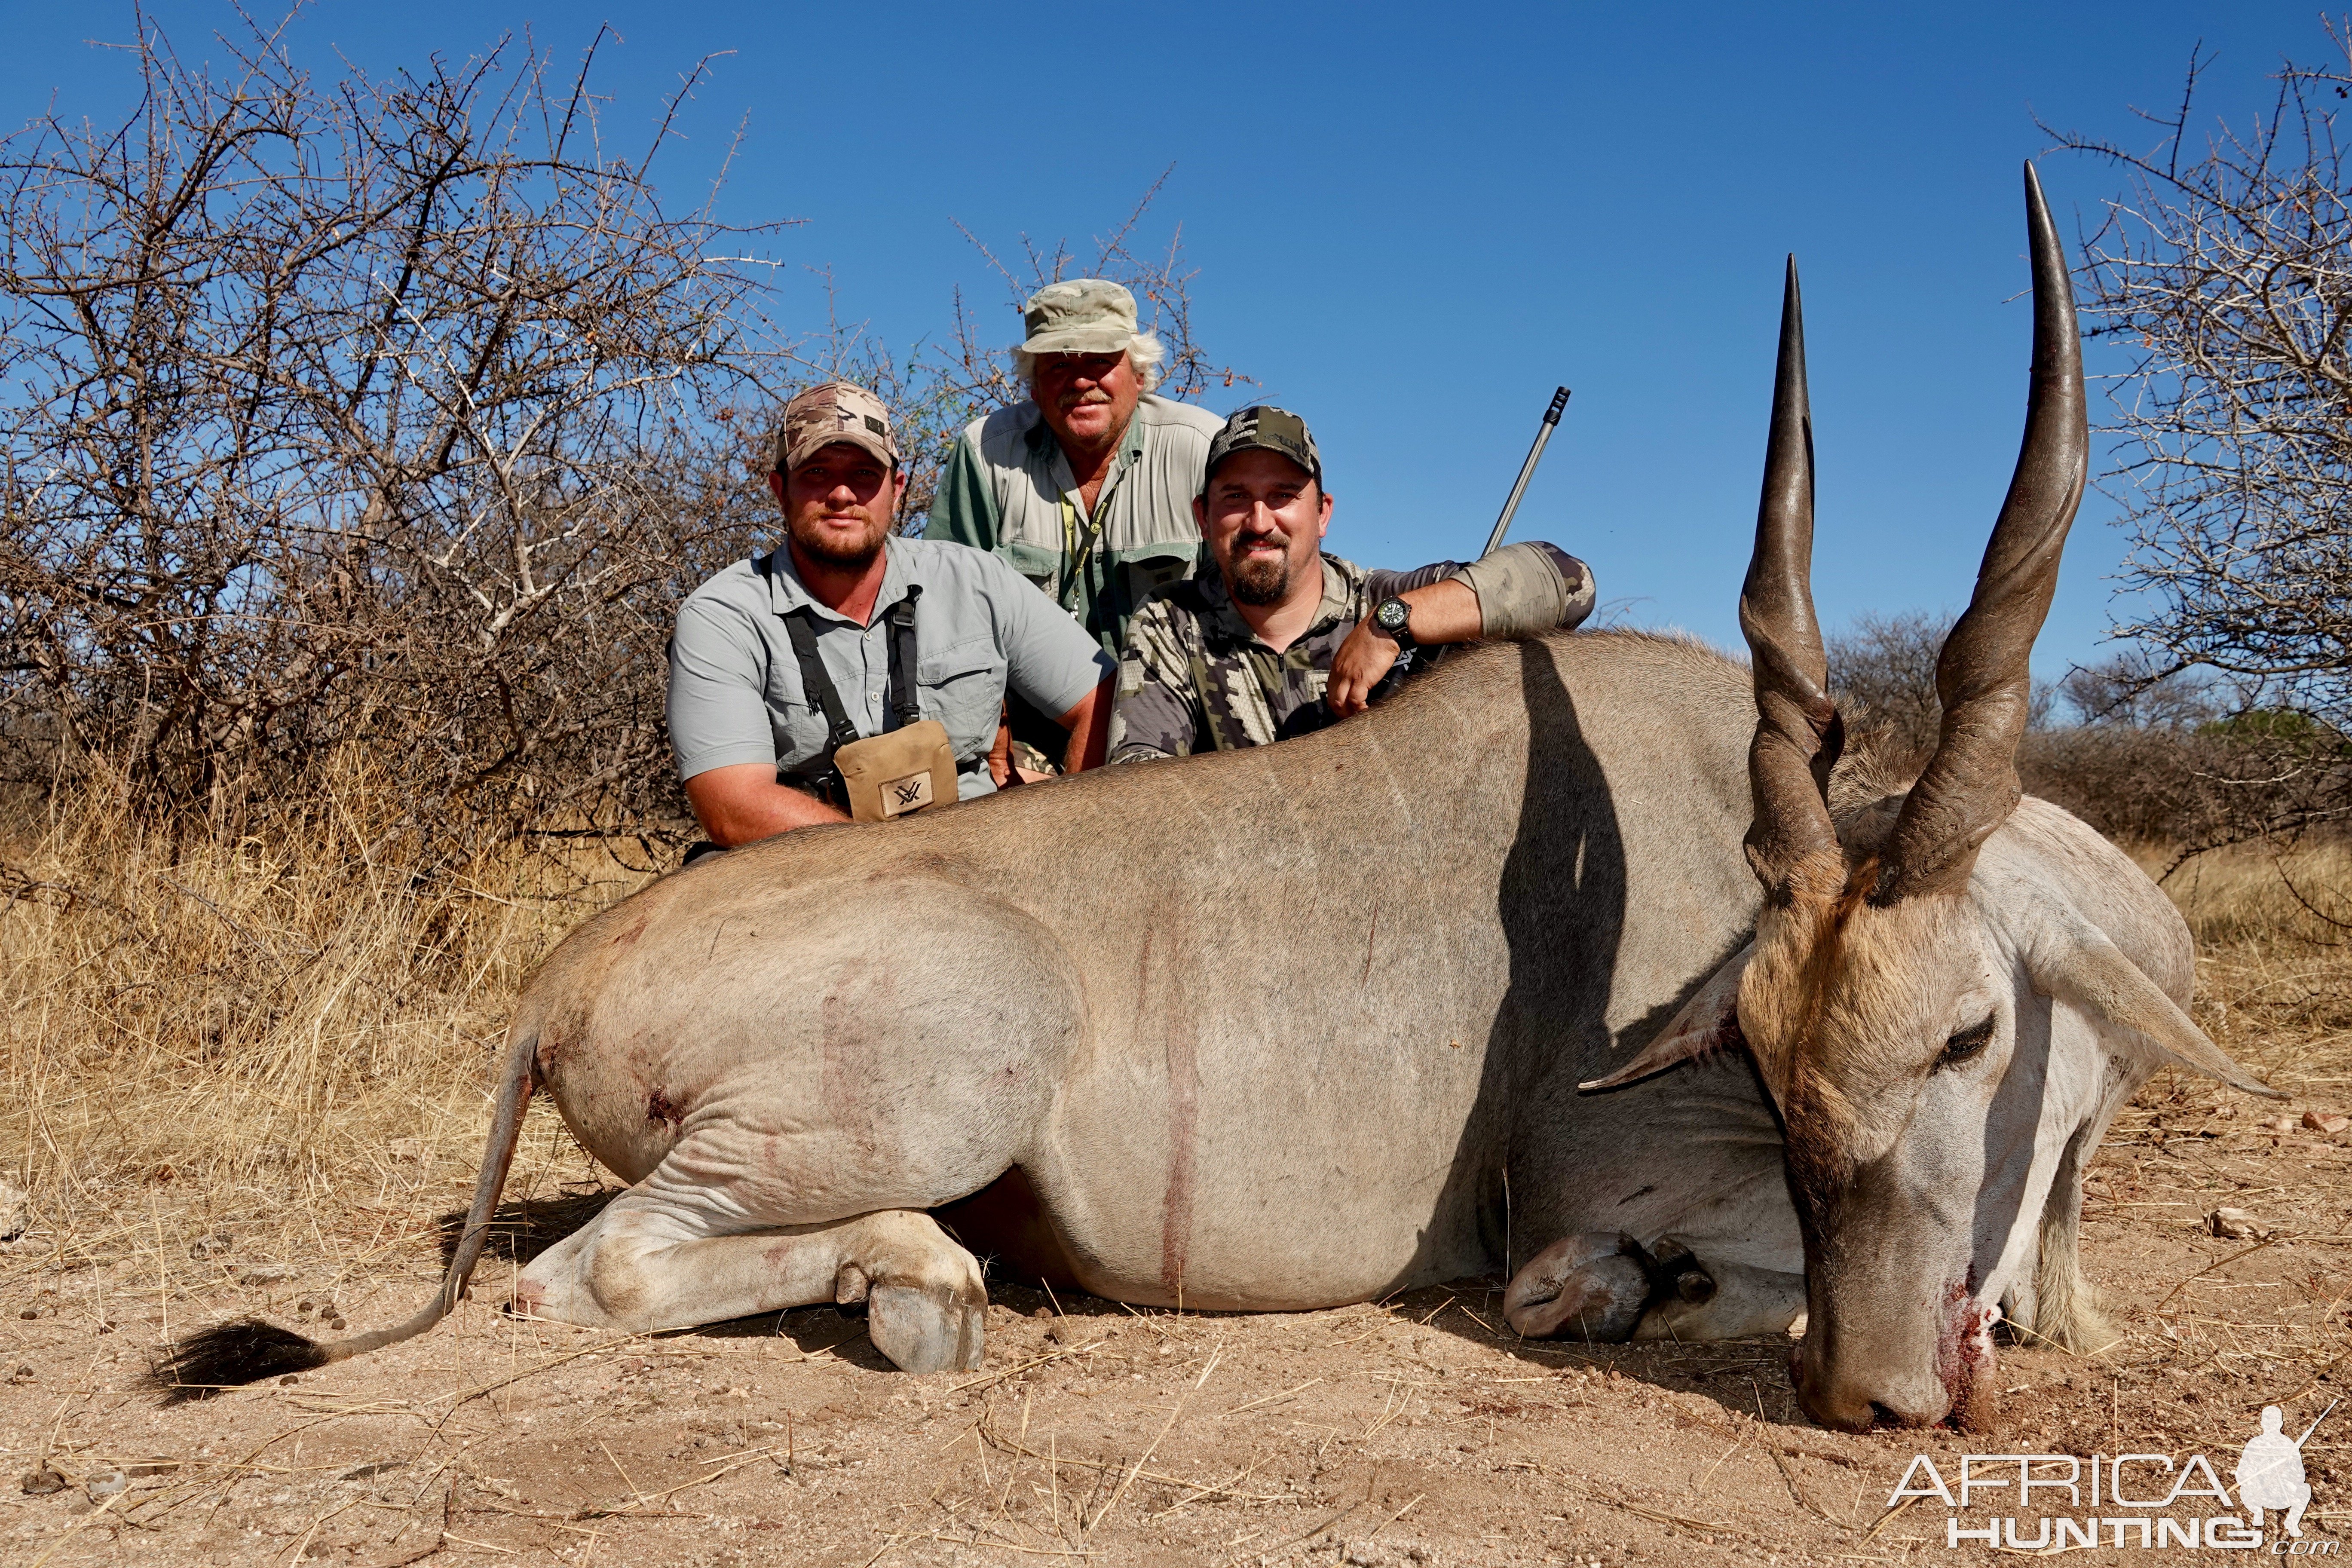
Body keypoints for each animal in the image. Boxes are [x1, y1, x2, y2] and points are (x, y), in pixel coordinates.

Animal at [151, 165, 2276, 1429]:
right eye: (1757, 1048)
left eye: (1968, 1030)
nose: (1876, 1390)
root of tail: (558, 981)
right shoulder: (1608, 1182)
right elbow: (1601, 1269)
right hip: (913, 1085)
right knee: (590, 1270)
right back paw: (922, 1284)